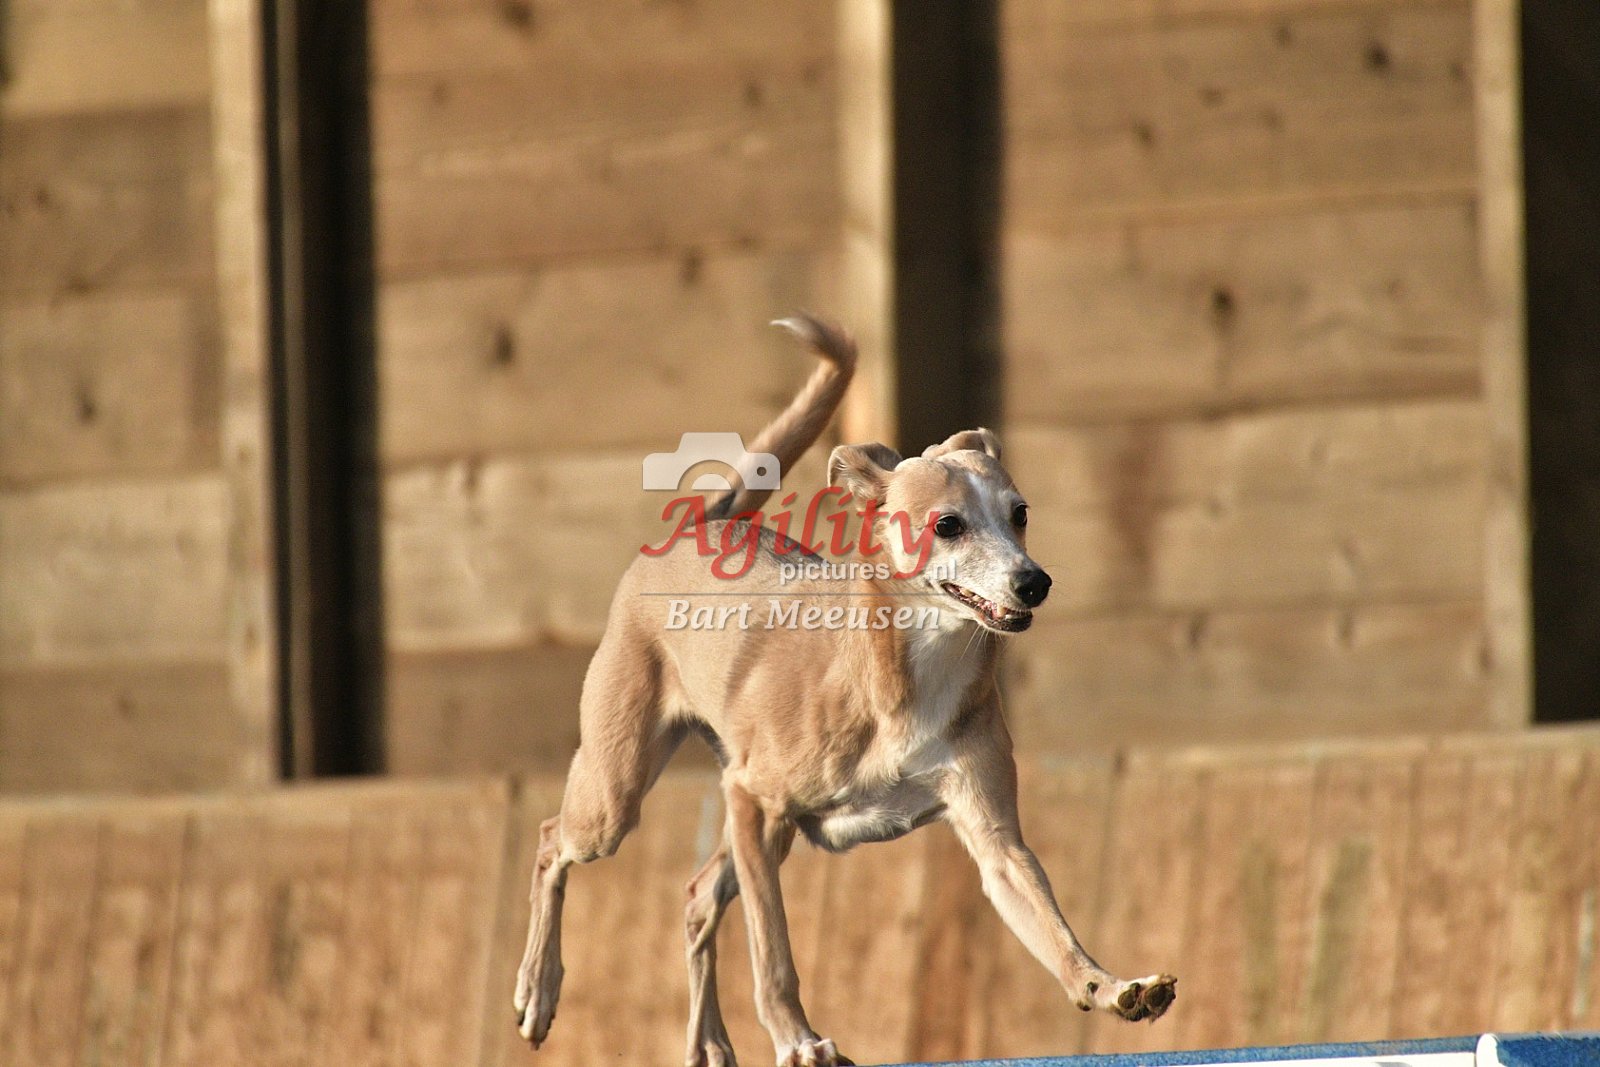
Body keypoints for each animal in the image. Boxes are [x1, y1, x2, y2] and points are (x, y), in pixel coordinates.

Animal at [514, 314, 1176, 1067]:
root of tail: (699, 525)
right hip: (621, 796)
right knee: (551, 842)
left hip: (755, 836)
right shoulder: (752, 797)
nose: (1034, 583)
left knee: (697, 896)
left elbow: (1054, 930)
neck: (911, 672)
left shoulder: (994, 840)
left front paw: (1109, 986)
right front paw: (798, 1040)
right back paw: (538, 989)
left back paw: (708, 1040)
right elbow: (773, 954)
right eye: (948, 524)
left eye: (1021, 513)